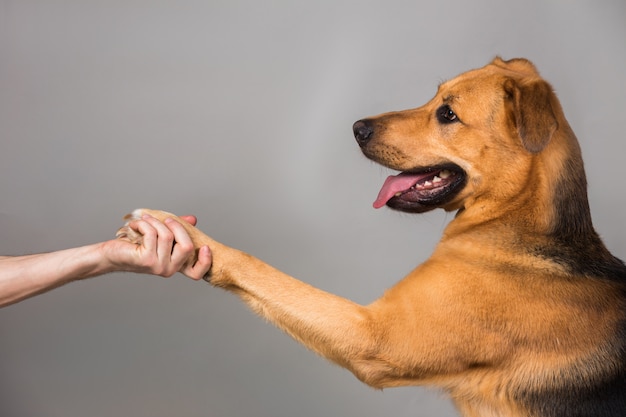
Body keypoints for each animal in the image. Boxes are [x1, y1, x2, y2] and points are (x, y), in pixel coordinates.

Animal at [118, 58, 624, 416]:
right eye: (432, 98)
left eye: (448, 113)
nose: (357, 128)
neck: (518, 227)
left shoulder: (375, 339)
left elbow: (258, 267)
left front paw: (176, 230)